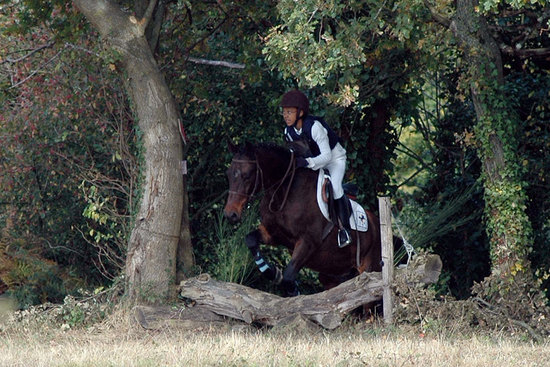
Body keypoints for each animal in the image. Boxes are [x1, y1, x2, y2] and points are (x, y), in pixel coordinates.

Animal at [222, 142, 382, 298]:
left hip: (369, 268)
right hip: (332, 275)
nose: (231, 214)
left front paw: (293, 290)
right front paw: (272, 272)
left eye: (247, 175)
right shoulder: (273, 235)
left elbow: (288, 275)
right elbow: (250, 239)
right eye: (228, 174)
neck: (284, 193)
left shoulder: (308, 242)